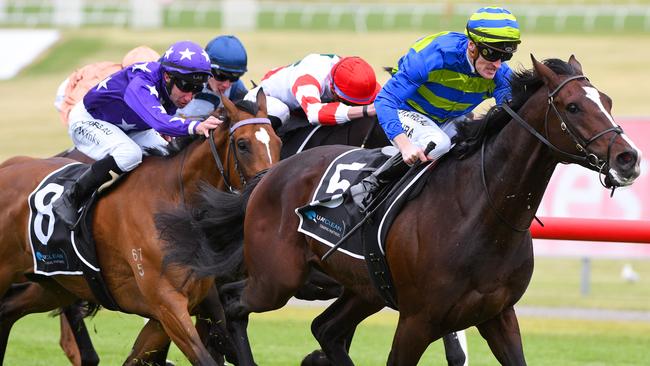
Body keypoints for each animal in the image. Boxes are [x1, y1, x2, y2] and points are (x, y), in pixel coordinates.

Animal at [0, 89, 280, 366]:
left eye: (278, 142)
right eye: (242, 144)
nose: (266, 192)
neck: (175, 202)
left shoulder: (184, 304)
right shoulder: (167, 303)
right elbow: (204, 356)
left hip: (55, 285)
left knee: (8, 311)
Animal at [180, 55, 640, 366]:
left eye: (607, 100)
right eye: (573, 106)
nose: (628, 158)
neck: (481, 212)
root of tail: (269, 176)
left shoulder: (498, 314)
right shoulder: (418, 320)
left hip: (364, 289)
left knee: (325, 330)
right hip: (276, 279)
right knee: (232, 306)